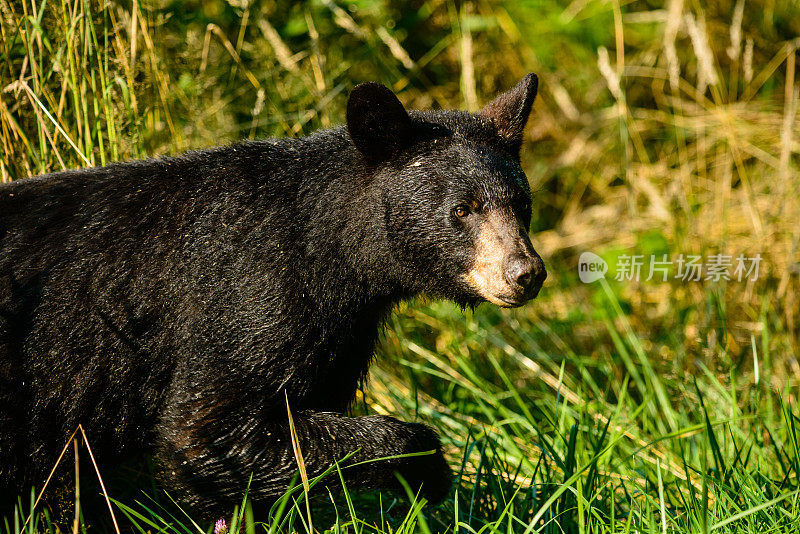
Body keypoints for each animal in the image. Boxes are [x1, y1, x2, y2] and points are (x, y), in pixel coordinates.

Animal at [0, 74, 544, 520]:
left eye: (522, 204)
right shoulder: (250, 291)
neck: (331, 251)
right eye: (463, 209)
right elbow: (205, 428)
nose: (526, 274)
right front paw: (427, 470)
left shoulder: (335, 332)